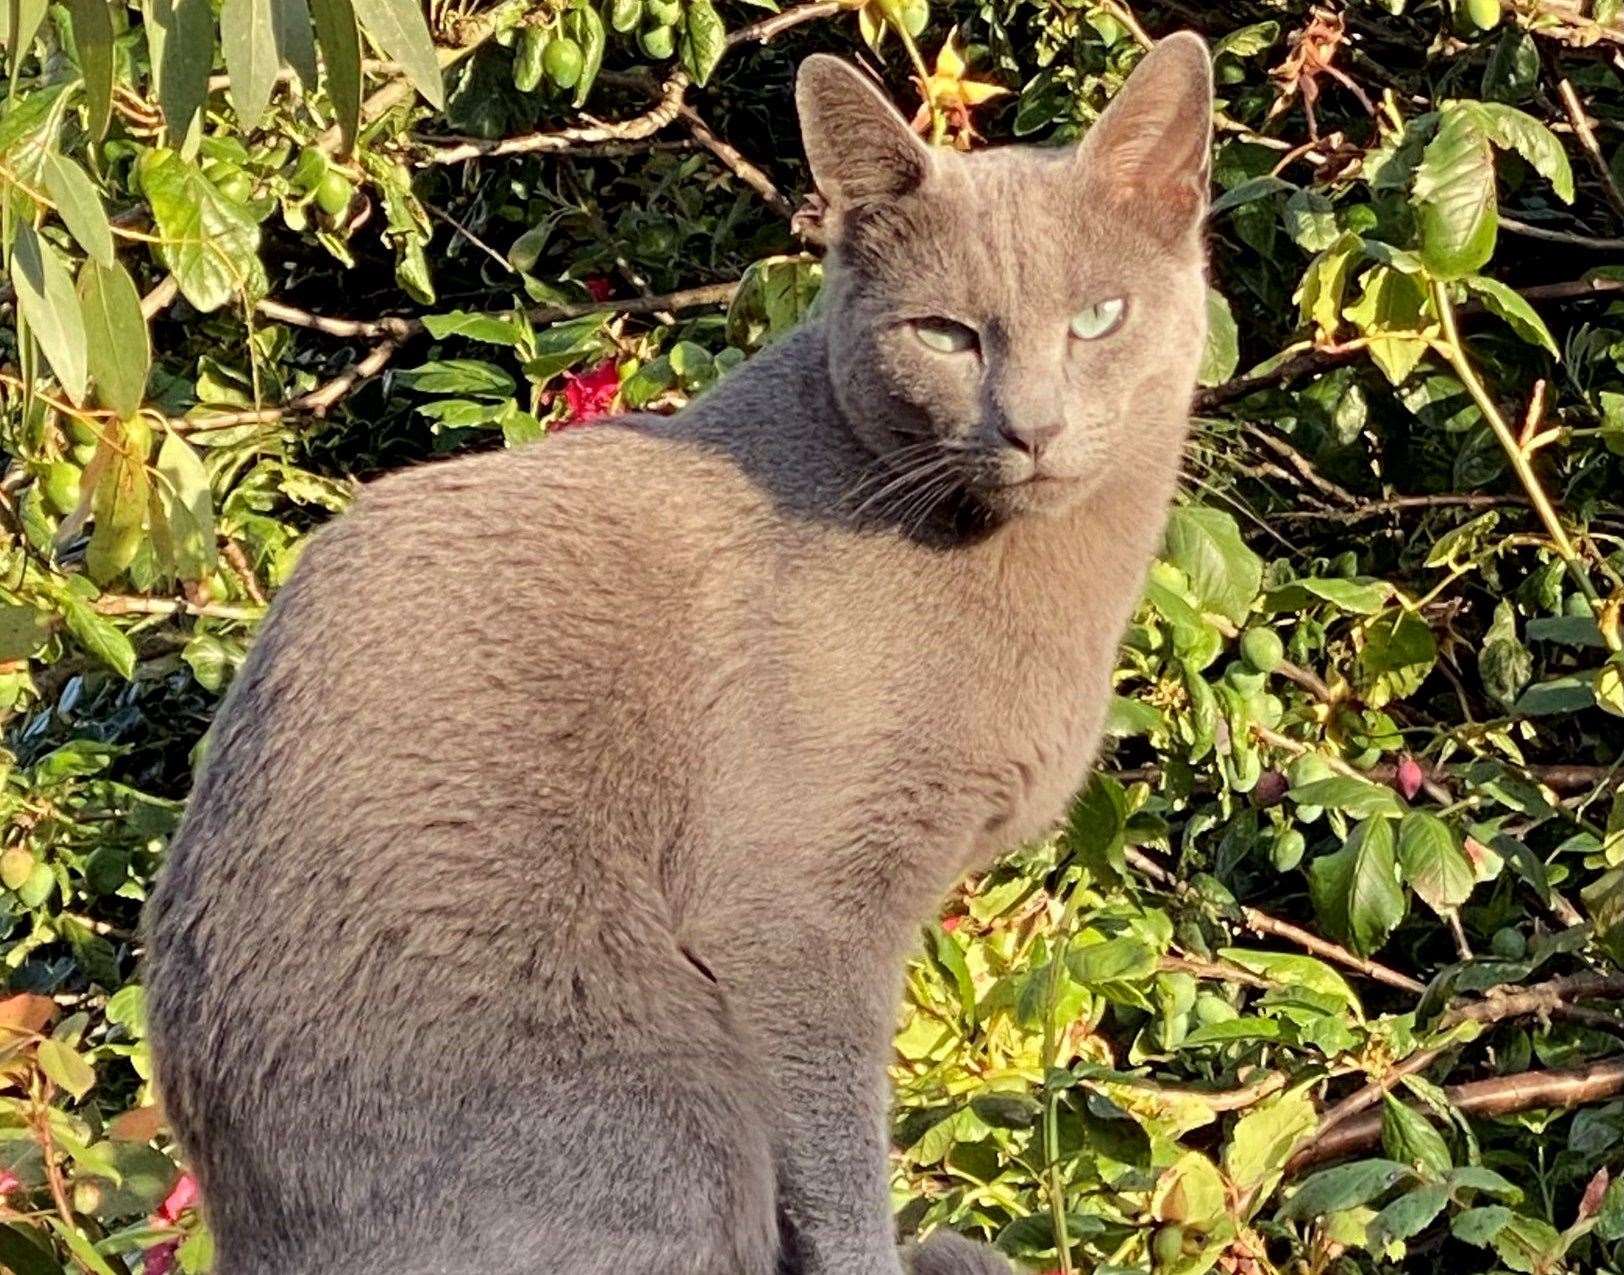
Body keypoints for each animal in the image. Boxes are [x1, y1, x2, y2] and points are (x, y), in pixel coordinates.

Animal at [146, 34, 1214, 1273]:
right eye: (946, 335)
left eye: (1098, 318)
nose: (1029, 427)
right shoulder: (792, 915)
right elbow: (839, 1162)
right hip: (646, 1094)